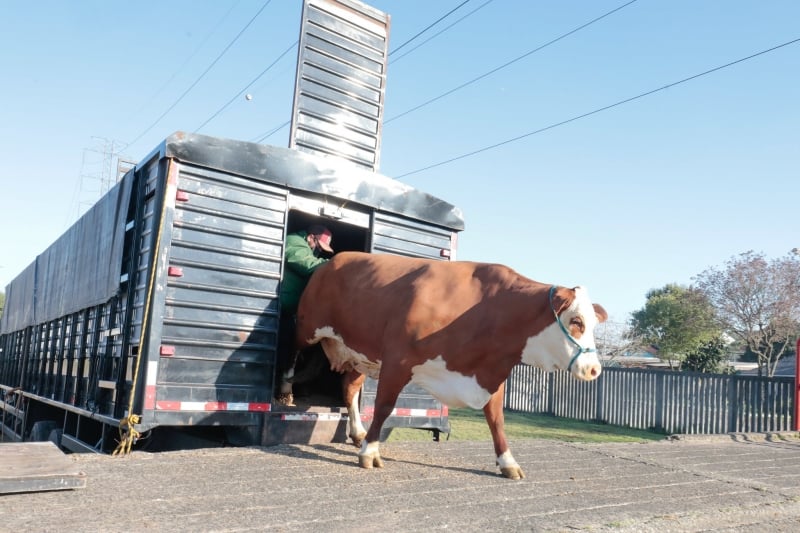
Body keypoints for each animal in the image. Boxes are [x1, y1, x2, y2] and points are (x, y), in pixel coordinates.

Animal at [294, 251, 608, 480]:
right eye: (576, 321)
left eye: (593, 324)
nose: (595, 369)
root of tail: (332, 261)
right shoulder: (398, 360)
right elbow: (383, 407)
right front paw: (370, 452)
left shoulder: (490, 375)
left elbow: (496, 420)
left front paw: (508, 461)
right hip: (305, 331)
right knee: (292, 357)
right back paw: (289, 393)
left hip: (360, 355)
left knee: (349, 389)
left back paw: (357, 432)